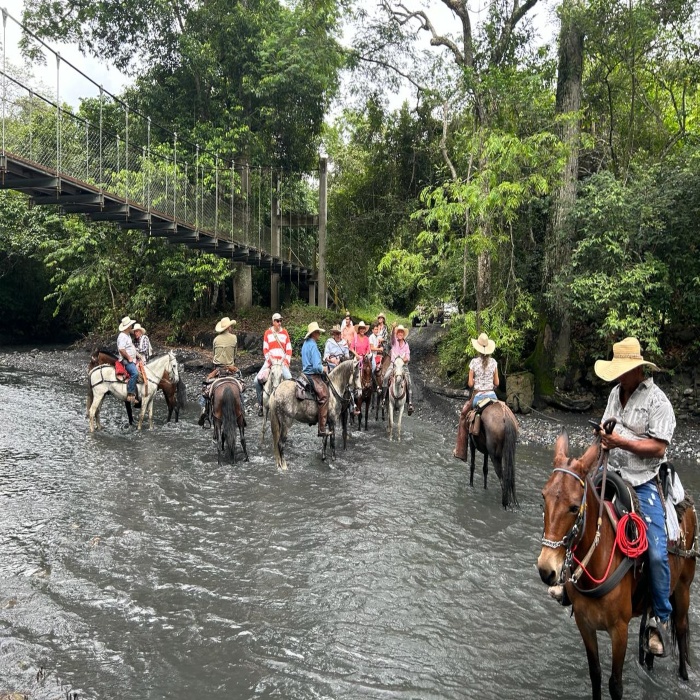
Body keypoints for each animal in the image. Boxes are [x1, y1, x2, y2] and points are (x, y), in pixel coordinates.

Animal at [540, 432, 696, 700]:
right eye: (544, 498)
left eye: (574, 507)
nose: (545, 569)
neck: (598, 562)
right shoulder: (584, 624)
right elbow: (595, 673)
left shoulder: (619, 629)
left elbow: (616, 684)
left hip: (684, 587)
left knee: (682, 629)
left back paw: (684, 677)